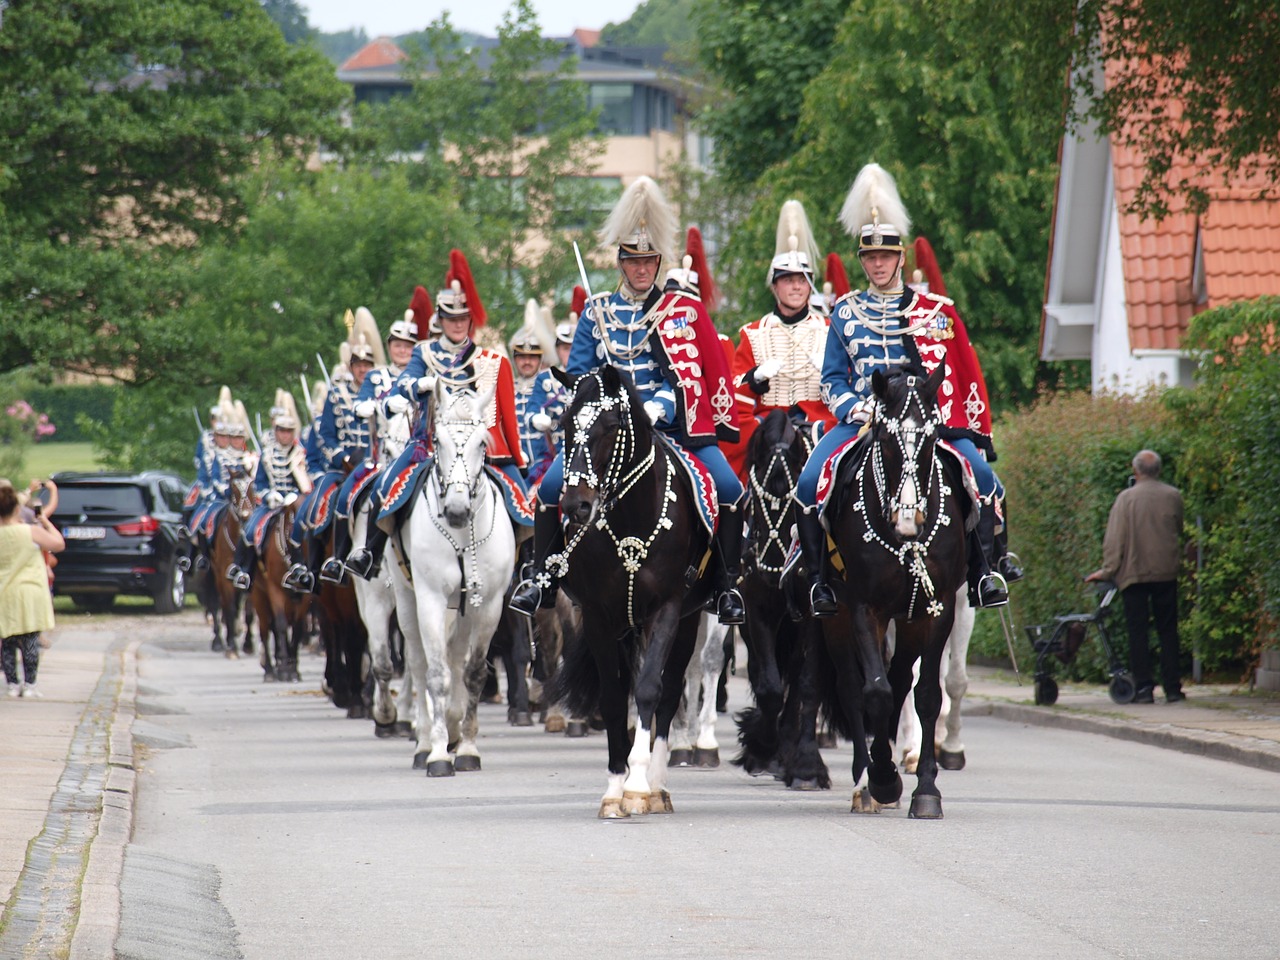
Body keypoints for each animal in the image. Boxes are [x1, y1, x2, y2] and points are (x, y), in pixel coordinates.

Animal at [250, 496, 311, 686]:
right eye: (294, 525)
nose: (302, 573)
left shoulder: (305, 597)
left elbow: (298, 628)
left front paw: (293, 669)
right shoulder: (275, 591)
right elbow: (281, 625)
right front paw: (284, 669)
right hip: (259, 598)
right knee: (265, 629)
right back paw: (270, 669)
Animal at [389, 378, 514, 778]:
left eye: (482, 443)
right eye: (438, 441)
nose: (457, 510)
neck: (460, 535)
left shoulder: (489, 605)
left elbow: (473, 674)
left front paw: (468, 747)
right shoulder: (429, 599)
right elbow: (436, 674)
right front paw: (439, 755)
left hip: (463, 609)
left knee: (457, 659)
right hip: (406, 602)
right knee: (418, 663)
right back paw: (426, 741)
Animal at [550, 366, 721, 819]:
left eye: (611, 427)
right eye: (565, 424)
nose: (576, 506)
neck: (630, 518)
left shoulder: (668, 608)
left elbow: (648, 689)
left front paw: (639, 784)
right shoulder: (598, 616)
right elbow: (613, 696)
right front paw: (614, 787)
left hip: (689, 619)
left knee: (670, 690)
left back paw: (659, 786)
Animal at [732, 409, 829, 793]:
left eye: (794, 501)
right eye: (756, 501)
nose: (772, 570)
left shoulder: (813, 615)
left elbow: (806, 685)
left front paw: (806, 766)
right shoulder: (755, 609)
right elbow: (770, 687)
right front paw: (760, 745)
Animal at [819, 366, 967, 819]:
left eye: (933, 436)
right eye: (884, 438)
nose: (908, 521)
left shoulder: (939, 609)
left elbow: (927, 695)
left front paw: (926, 789)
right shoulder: (865, 608)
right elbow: (876, 692)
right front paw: (882, 778)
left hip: (912, 618)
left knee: (903, 680)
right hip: (837, 618)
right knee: (855, 688)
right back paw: (863, 778)